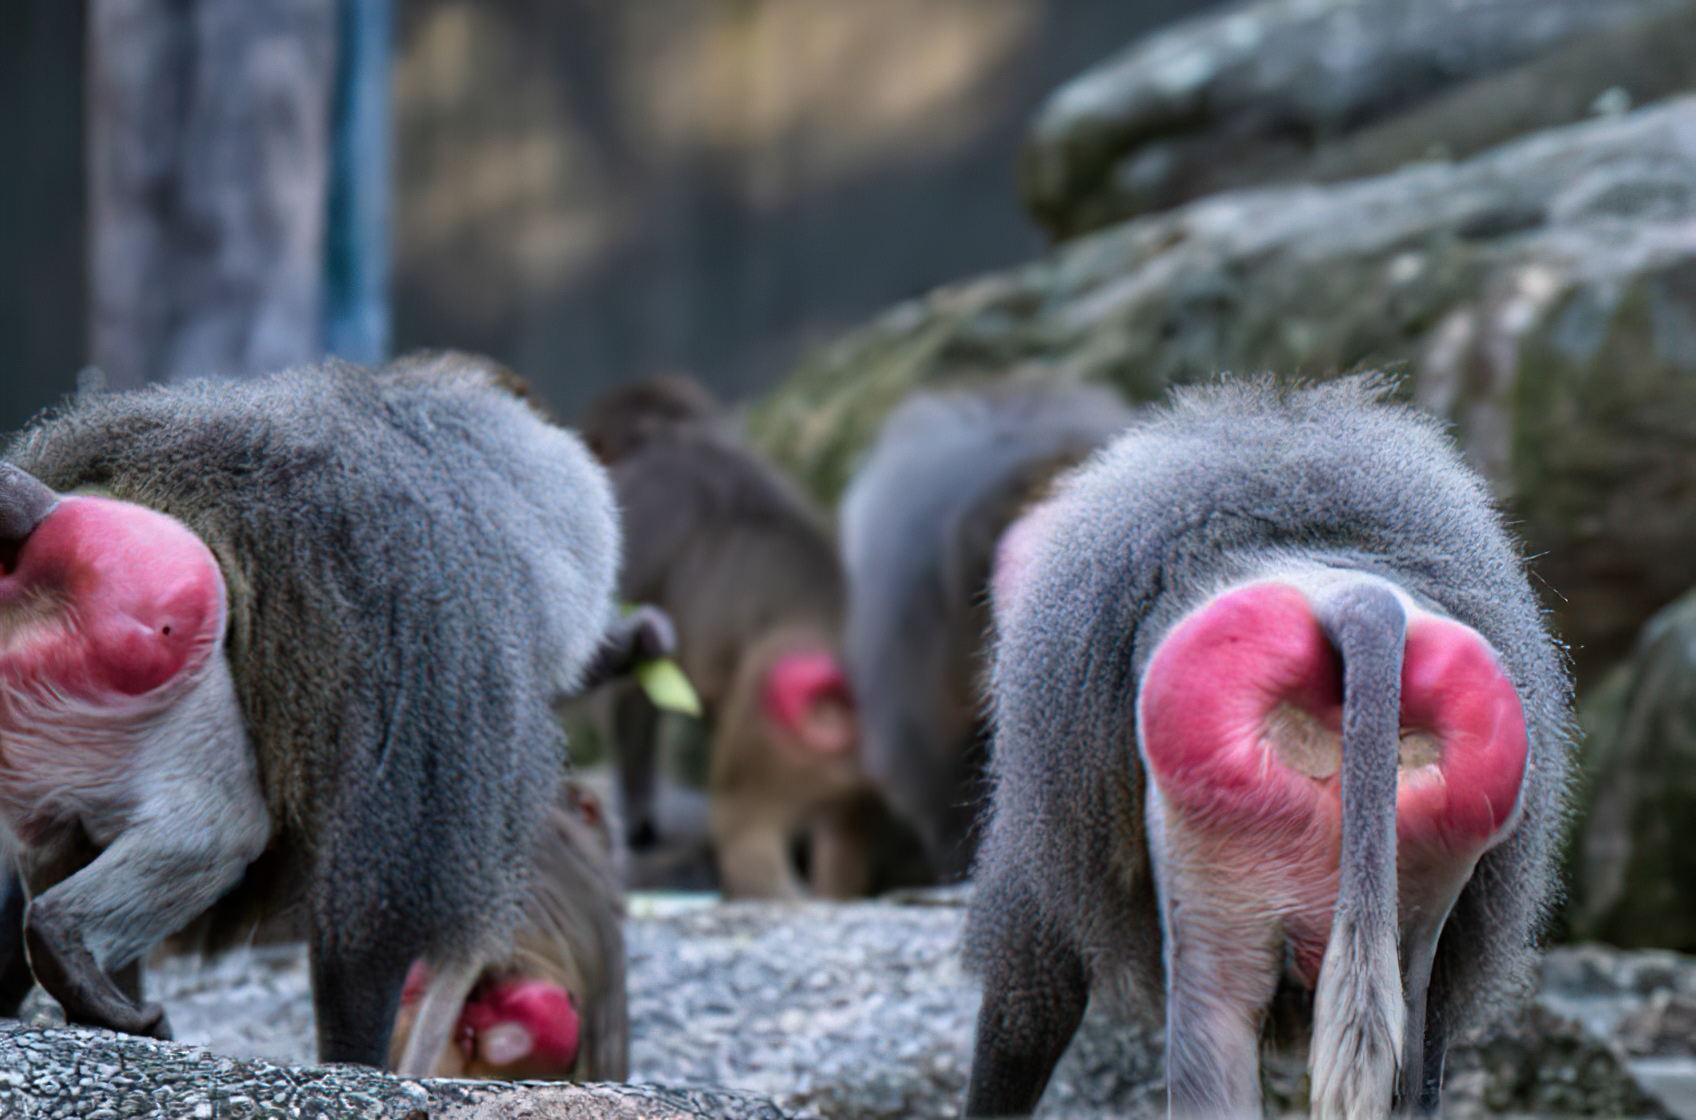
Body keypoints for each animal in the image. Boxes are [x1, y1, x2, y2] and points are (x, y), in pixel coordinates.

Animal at [0, 354, 624, 1072]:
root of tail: (47, 513)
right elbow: (372, 916)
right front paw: (361, 1064)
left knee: (56, 844)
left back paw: (97, 1000)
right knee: (219, 831)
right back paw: (70, 947)